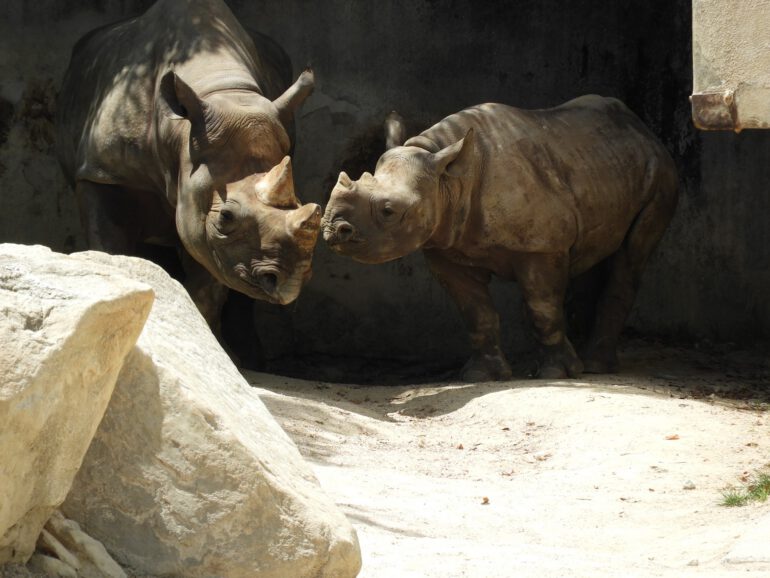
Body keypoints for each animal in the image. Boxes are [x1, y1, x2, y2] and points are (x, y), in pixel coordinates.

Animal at [56, 0, 320, 329]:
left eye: (304, 205)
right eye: (226, 217)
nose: (289, 282)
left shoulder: (205, 222)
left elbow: (208, 288)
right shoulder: (102, 172)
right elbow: (110, 249)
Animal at [323, 96, 678, 380]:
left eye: (388, 211)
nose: (332, 229)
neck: (447, 177)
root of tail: (644, 131)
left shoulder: (540, 248)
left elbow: (542, 306)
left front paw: (556, 373)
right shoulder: (445, 249)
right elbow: (475, 311)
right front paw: (482, 375)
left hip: (661, 175)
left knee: (631, 257)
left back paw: (594, 367)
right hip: (599, 166)